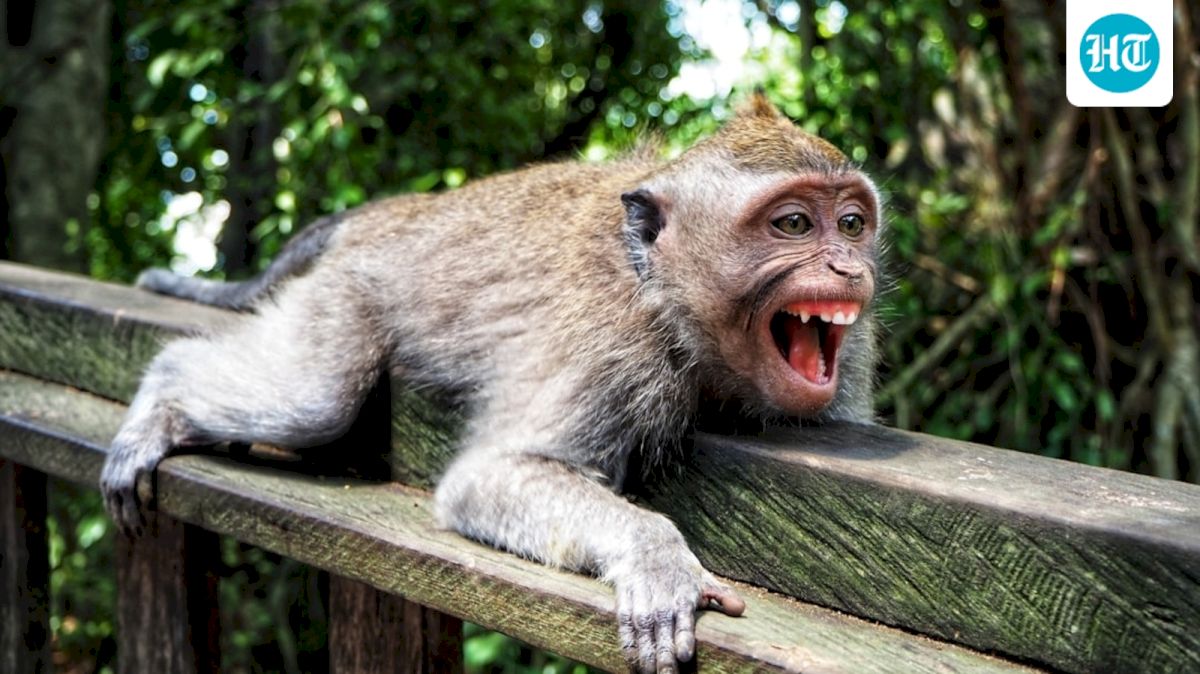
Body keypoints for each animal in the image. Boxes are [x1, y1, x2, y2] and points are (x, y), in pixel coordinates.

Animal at [103, 94, 882, 674]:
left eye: (851, 223)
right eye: (793, 223)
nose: (850, 268)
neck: (663, 294)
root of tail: (397, 210)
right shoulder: (613, 345)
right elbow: (488, 477)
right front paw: (655, 554)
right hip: (349, 290)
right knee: (313, 401)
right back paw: (163, 397)